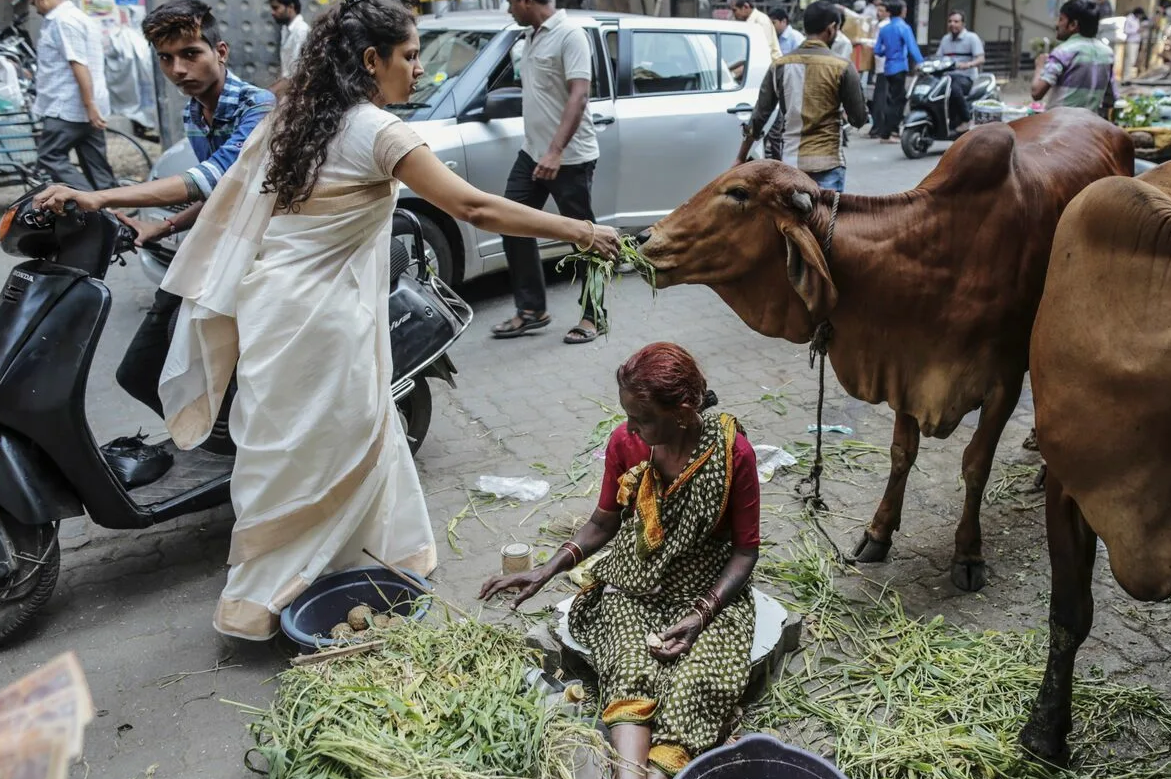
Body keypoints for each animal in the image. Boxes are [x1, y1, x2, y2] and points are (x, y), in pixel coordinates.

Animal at [641, 104, 1133, 590]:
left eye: (738, 193)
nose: (646, 238)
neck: (934, 252)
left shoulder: (1004, 381)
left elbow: (976, 464)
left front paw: (968, 553)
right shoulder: (905, 368)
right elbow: (901, 454)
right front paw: (878, 533)